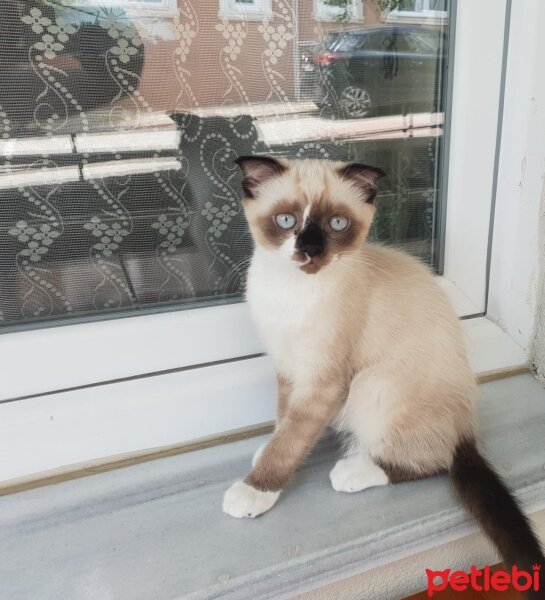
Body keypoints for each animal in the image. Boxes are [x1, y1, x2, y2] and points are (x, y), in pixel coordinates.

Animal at [223, 155, 540, 576]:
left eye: (336, 224)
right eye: (286, 220)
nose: (310, 250)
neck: (292, 294)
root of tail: (465, 431)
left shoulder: (322, 380)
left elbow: (290, 440)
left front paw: (254, 490)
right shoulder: (288, 368)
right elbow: (283, 422)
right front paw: (265, 451)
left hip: (373, 384)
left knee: (433, 460)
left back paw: (353, 471)